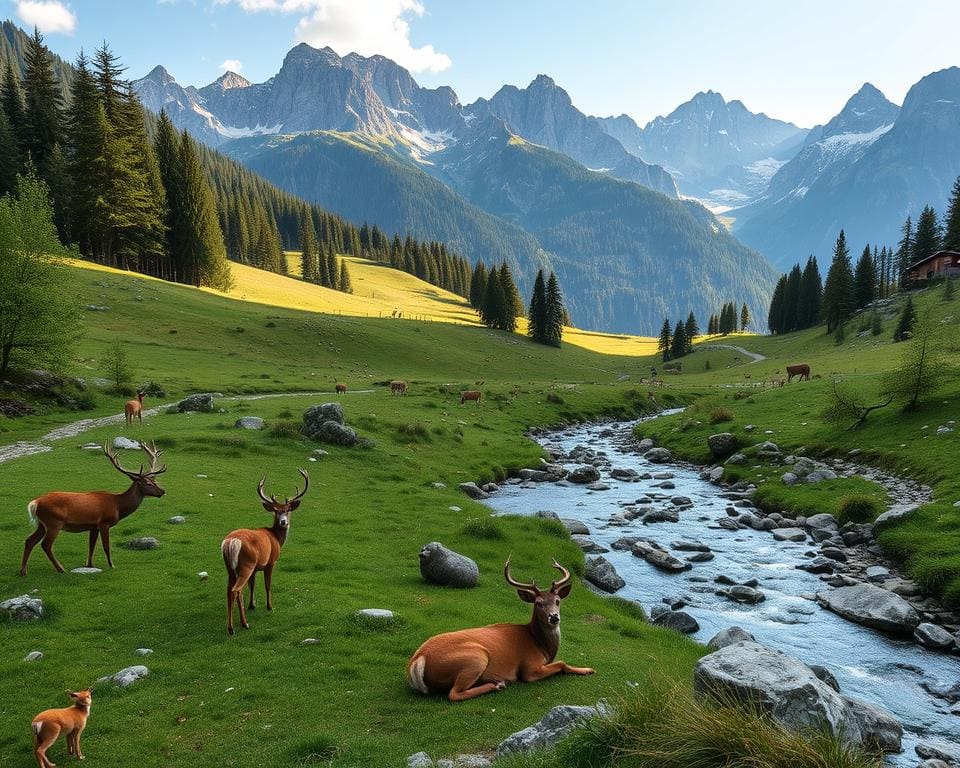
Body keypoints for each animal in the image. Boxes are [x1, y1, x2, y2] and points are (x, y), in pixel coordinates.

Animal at [19, 438, 167, 576]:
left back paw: (23, 571)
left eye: (154, 481)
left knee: (29, 541)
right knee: (46, 544)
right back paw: (60, 569)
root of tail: (35, 503)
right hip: (54, 522)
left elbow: (91, 546)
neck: (118, 506)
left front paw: (89, 565)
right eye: (148, 483)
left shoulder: (93, 526)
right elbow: (106, 546)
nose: (162, 491)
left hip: (42, 524)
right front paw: (112, 565)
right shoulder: (104, 523)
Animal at [220, 468, 308, 636]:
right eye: (276, 511)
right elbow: (268, 585)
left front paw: (252, 605)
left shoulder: (255, 569)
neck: (276, 538)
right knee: (236, 590)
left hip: (231, 568)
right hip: (246, 564)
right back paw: (241, 625)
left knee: (229, 590)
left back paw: (232, 626)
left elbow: (253, 586)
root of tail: (231, 542)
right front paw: (269, 606)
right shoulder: (271, 561)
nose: (283, 522)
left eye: (287, 510)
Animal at [404, 560, 592, 704]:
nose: (554, 617)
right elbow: (561, 663)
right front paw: (587, 669)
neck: (541, 646)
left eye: (558, 600)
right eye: (538, 603)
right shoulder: (529, 668)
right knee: (454, 693)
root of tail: (417, 660)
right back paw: (496, 685)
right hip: (475, 657)